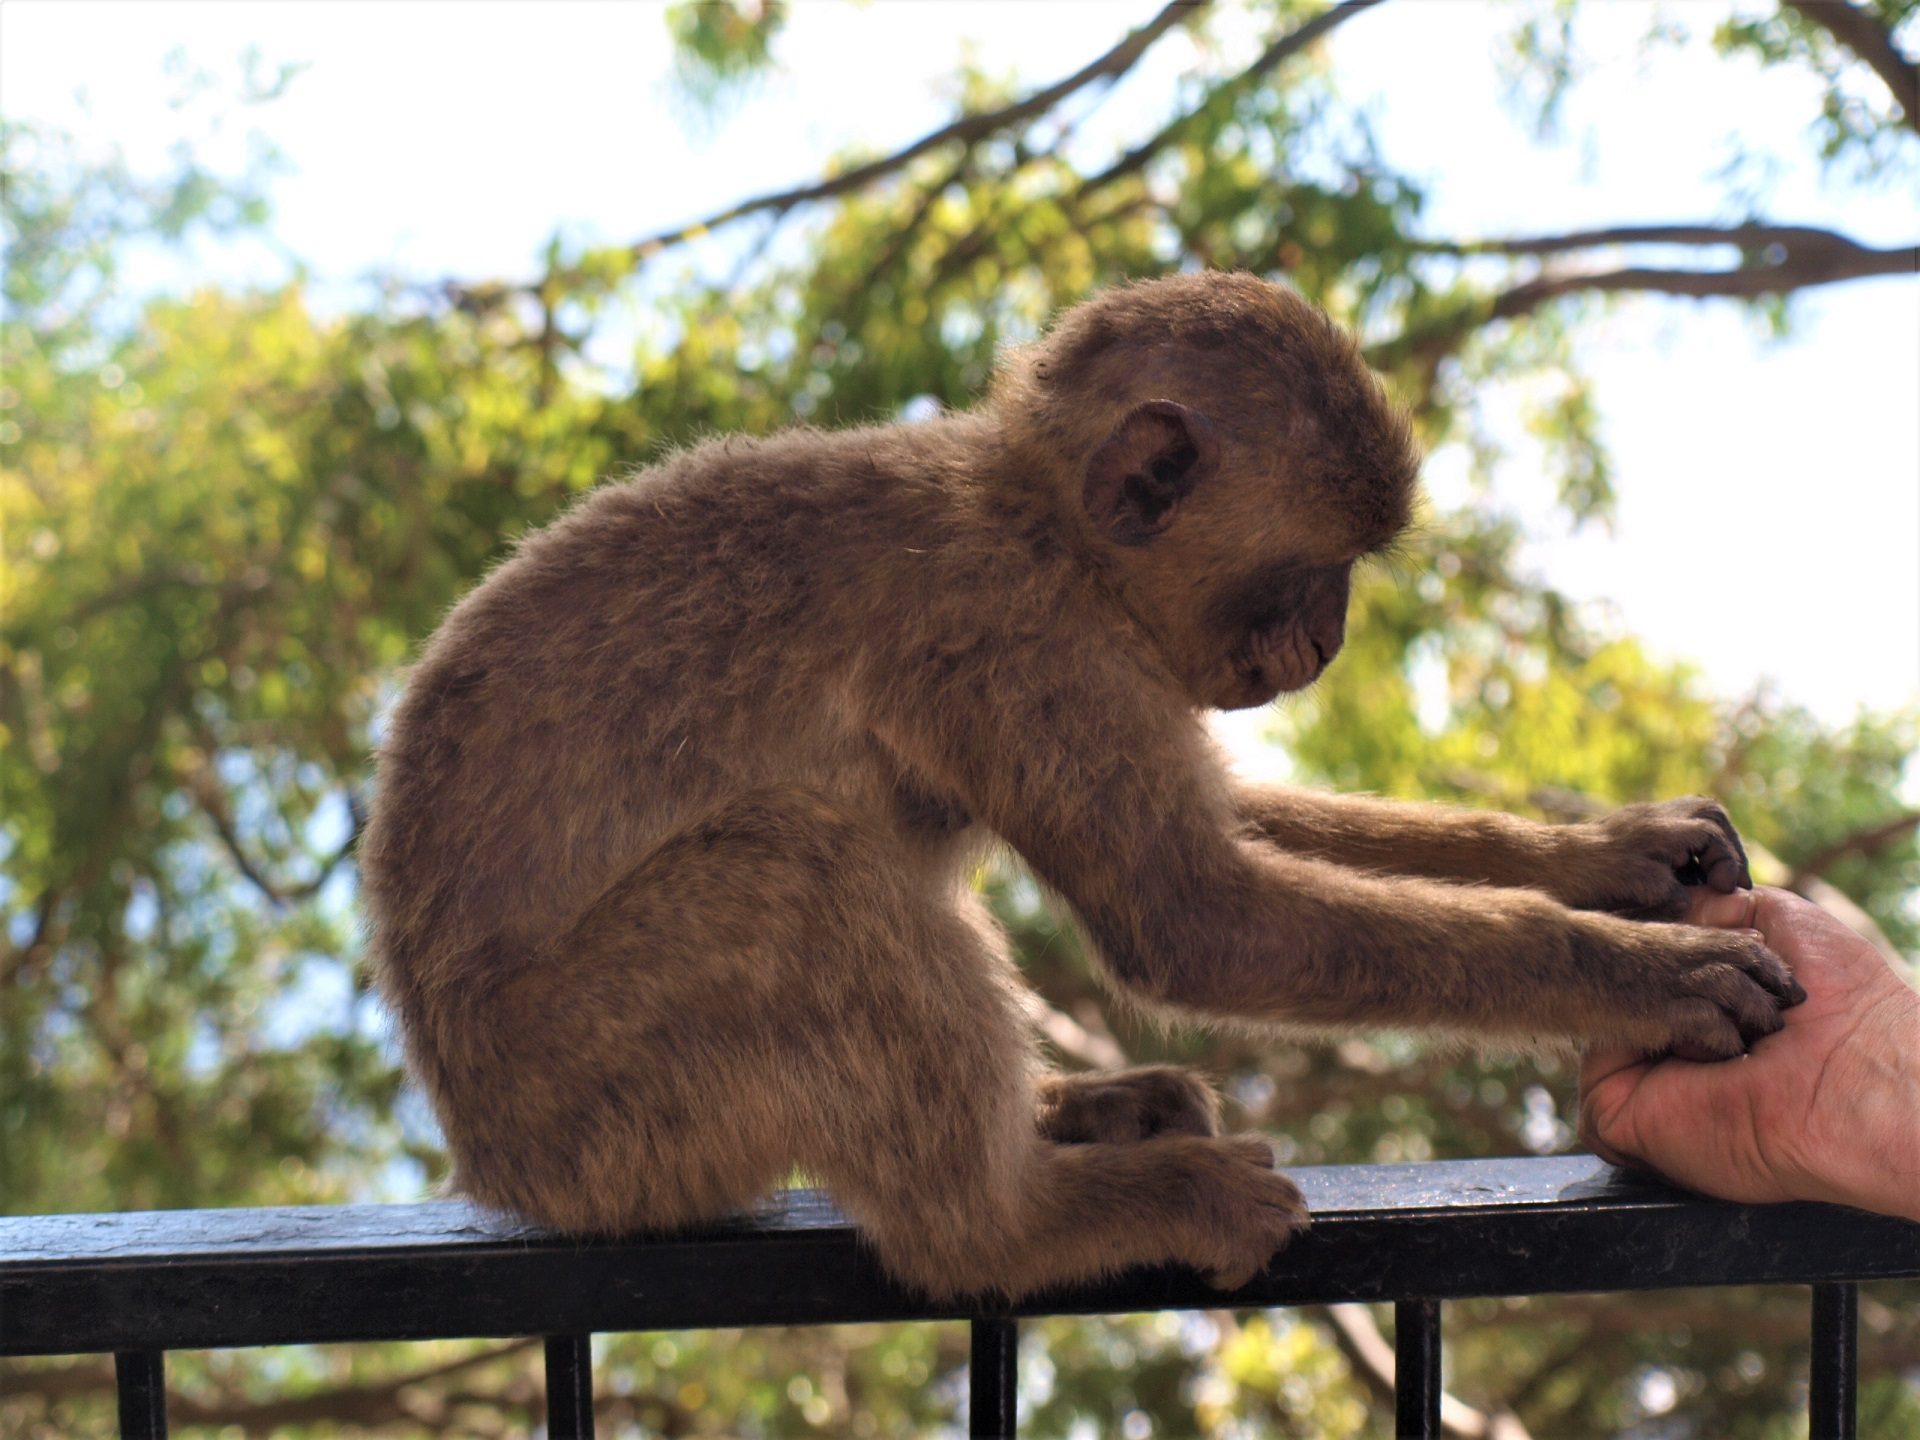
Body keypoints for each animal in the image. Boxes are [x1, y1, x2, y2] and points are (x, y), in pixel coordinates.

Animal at [357, 268, 1797, 1297]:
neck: (1044, 526)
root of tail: (492, 1159)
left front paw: (1615, 856)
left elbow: (1218, 825)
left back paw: (1072, 1115)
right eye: (1312, 572)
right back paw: (1013, 1222)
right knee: (796, 873)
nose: (1326, 641)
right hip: (598, 1102)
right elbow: (1192, 916)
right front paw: (1634, 971)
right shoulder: (1015, 636)